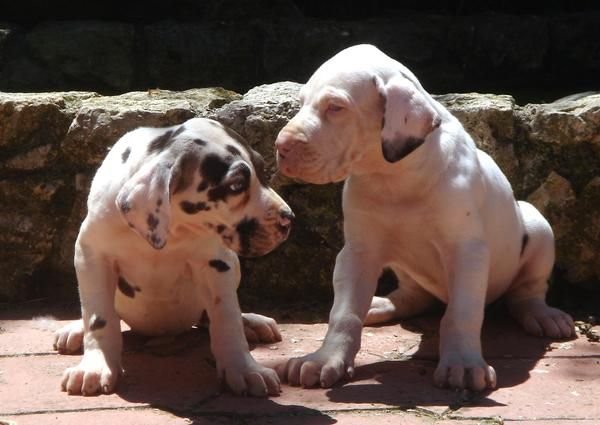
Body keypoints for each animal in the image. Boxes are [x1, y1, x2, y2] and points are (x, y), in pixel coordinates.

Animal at [55, 117, 294, 396]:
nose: (288, 219)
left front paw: (244, 369)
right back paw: (75, 329)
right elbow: (98, 318)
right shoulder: (92, 255)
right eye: (236, 185)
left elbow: (227, 317)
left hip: (233, 266)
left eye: (262, 170)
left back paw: (252, 322)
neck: (173, 230)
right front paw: (95, 366)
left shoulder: (216, 263)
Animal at [274, 44, 576, 390]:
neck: (394, 176)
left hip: (538, 229)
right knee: (412, 296)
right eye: (301, 103)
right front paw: (325, 359)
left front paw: (463, 364)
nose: (281, 146)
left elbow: (462, 313)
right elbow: (345, 313)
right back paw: (381, 303)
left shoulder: (466, 252)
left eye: (336, 107)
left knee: (526, 292)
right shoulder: (358, 252)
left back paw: (543, 314)